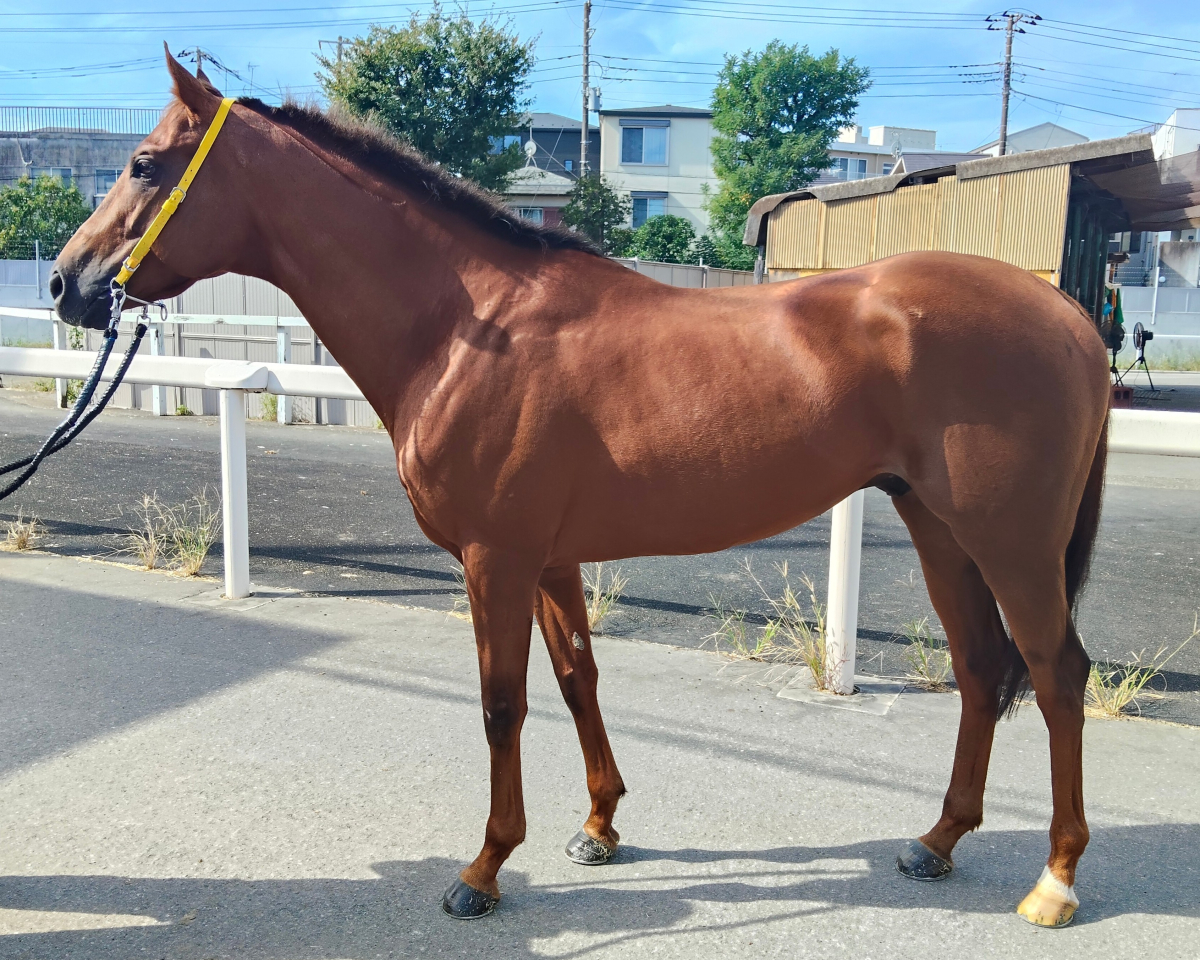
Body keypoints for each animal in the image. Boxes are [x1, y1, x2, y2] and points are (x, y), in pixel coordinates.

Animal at [50, 52, 1110, 927]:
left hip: (1010, 543)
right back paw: (937, 842)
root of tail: (1067, 314)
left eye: (143, 165)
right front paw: (600, 827)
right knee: (981, 669)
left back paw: (1055, 880)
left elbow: (501, 705)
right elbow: (576, 680)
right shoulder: (549, 558)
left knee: (1056, 674)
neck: (469, 327)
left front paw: (483, 869)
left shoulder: (496, 559)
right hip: (939, 528)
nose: (65, 284)